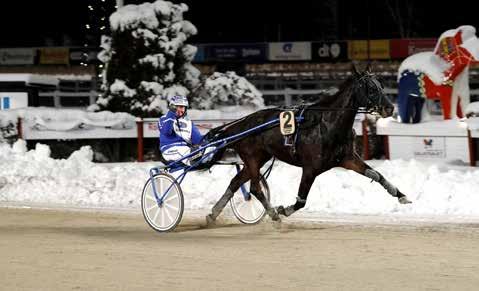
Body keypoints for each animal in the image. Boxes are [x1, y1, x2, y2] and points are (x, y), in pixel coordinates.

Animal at [204, 65, 410, 226]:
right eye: (370, 88)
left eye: (381, 85)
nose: (390, 108)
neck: (328, 124)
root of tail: (238, 125)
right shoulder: (310, 168)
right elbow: (301, 201)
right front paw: (283, 210)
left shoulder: (347, 159)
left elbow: (377, 175)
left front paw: (400, 194)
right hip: (253, 158)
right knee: (255, 188)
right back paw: (273, 215)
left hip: (258, 159)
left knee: (236, 182)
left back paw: (212, 214)